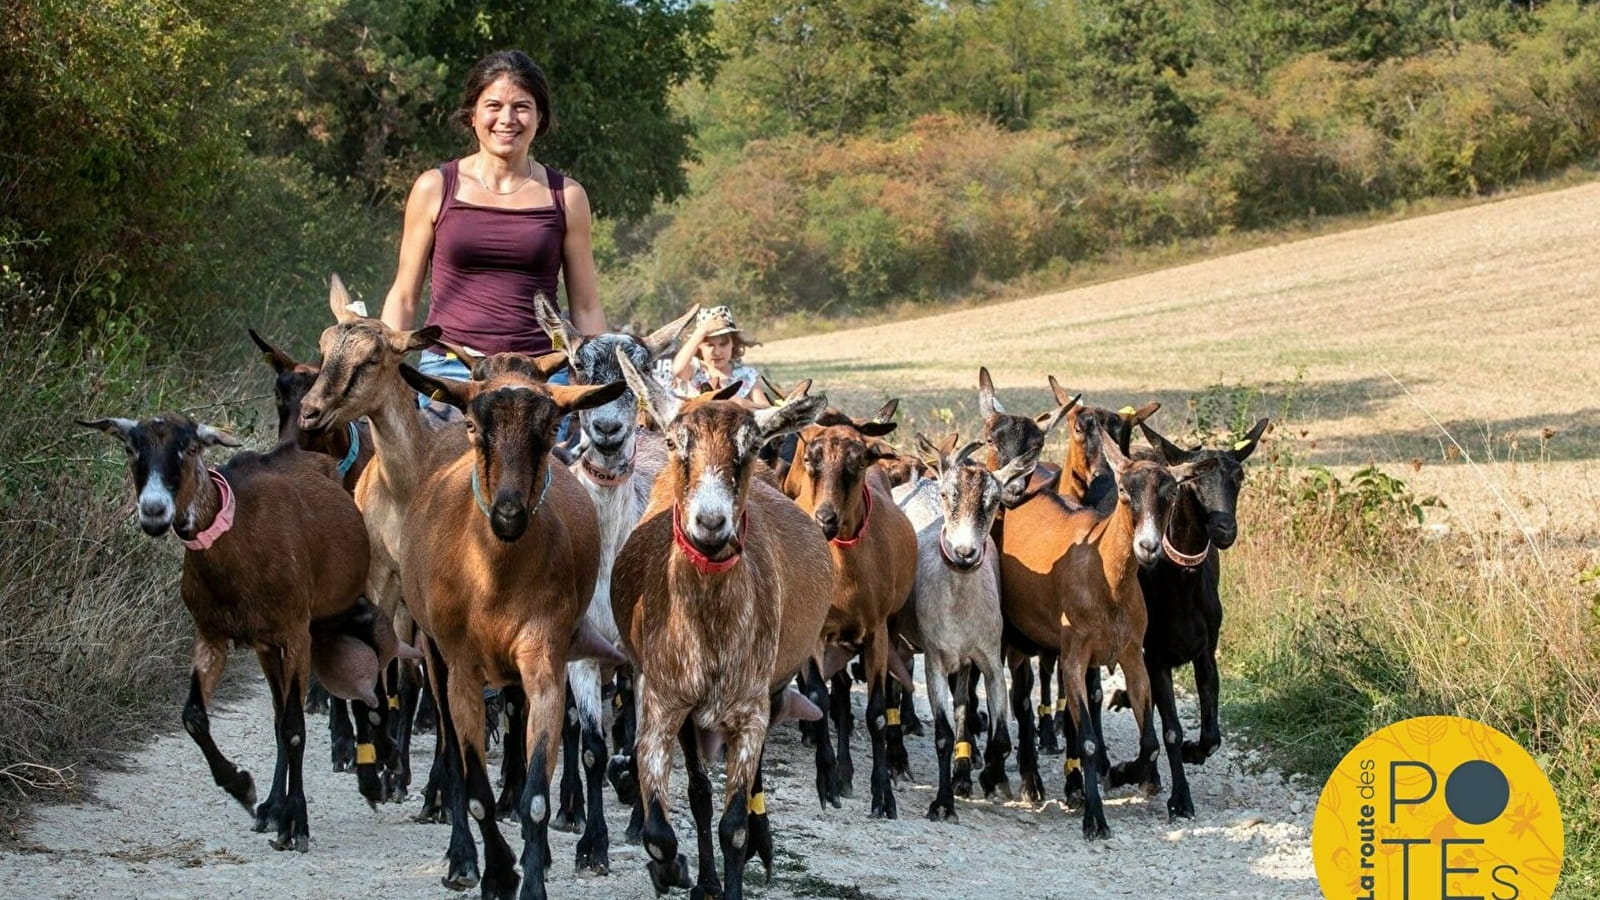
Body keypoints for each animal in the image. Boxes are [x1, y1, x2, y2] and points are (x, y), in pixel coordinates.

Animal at [393, 360, 624, 890]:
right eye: (476, 428)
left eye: (548, 432)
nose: (508, 512)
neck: (491, 578)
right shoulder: (460, 668)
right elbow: (472, 783)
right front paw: (494, 872)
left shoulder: (544, 659)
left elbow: (536, 796)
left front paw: (532, 875)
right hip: (433, 650)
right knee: (451, 755)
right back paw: (460, 856)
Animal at [611, 357, 838, 896]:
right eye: (677, 443)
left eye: (750, 447)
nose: (710, 524)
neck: (709, 633)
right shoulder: (662, 702)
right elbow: (663, 827)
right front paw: (674, 869)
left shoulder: (750, 708)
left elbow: (732, 827)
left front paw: (740, 855)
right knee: (698, 791)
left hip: (771, 686)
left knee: (750, 787)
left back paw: (761, 842)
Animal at [780, 409, 921, 816]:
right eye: (811, 460)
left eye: (857, 463)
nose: (825, 518)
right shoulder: (815, 632)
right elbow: (819, 699)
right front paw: (827, 781)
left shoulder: (877, 631)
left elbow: (877, 712)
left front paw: (883, 795)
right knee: (841, 697)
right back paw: (842, 772)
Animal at [889, 432, 1024, 816]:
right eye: (948, 495)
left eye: (992, 502)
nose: (964, 553)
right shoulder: (935, 658)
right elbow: (943, 735)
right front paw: (942, 803)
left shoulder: (988, 657)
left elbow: (999, 736)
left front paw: (989, 779)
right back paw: (896, 761)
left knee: (963, 702)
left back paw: (964, 773)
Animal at [1107, 416, 1267, 816]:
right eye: (1192, 483)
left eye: (1239, 476)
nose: (1225, 529)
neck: (1180, 583)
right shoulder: (1156, 656)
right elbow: (1170, 731)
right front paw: (1179, 797)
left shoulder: (1206, 652)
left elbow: (1211, 735)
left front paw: (1194, 752)